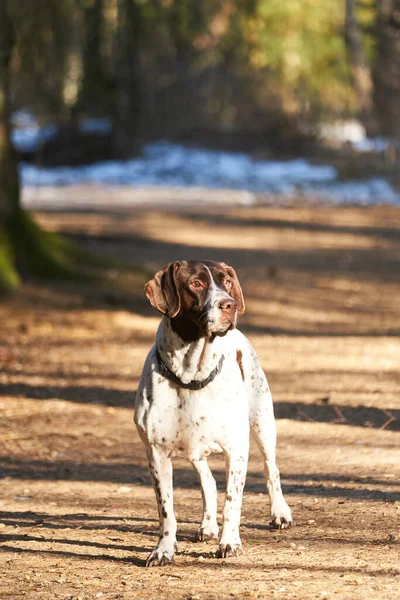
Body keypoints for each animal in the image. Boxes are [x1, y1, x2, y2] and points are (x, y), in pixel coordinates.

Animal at [134, 260, 290, 564]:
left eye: (226, 282)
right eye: (195, 284)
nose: (229, 304)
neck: (190, 375)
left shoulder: (237, 449)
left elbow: (233, 502)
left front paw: (230, 542)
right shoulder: (157, 454)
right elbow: (166, 510)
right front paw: (164, 549)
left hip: (262, 425)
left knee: (271, 469)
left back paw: (280, 513)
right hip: (197, 450)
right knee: (208, 481)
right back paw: (207, 525)